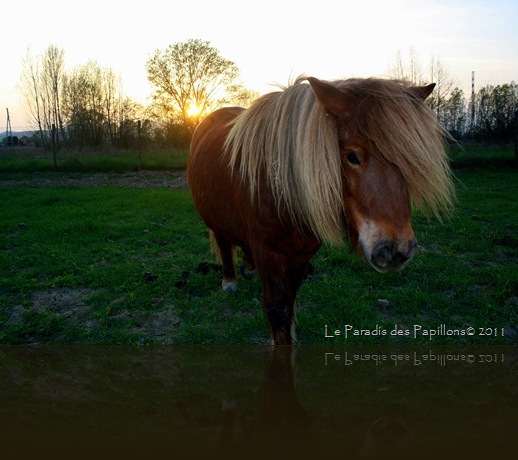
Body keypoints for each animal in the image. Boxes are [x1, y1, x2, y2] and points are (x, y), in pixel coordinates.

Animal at [188, 76, 456, 344]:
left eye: (409, 163)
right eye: (351, 156)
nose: (395, 250)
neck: (281, 188)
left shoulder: (302, 253)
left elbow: (291, 302)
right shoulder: (267, 251)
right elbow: (279, 310)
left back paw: (247, 268)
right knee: (223, 241)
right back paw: (229, 281)